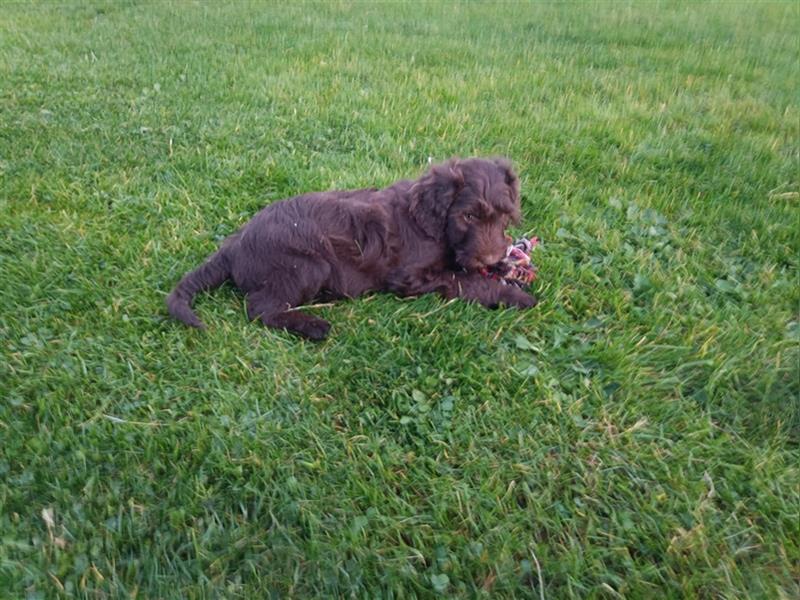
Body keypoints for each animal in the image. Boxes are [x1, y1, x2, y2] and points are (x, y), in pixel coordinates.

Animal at [166, 157, 536, 340]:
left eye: (505, 215)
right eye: (468, 216)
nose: (492, 257)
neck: (428, 221)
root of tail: (235, 243)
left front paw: (508, 270)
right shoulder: (408, 278)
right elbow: (465, 281)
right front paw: (514, 295)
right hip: (308, 267)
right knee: (260, 307)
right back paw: (313, 326)